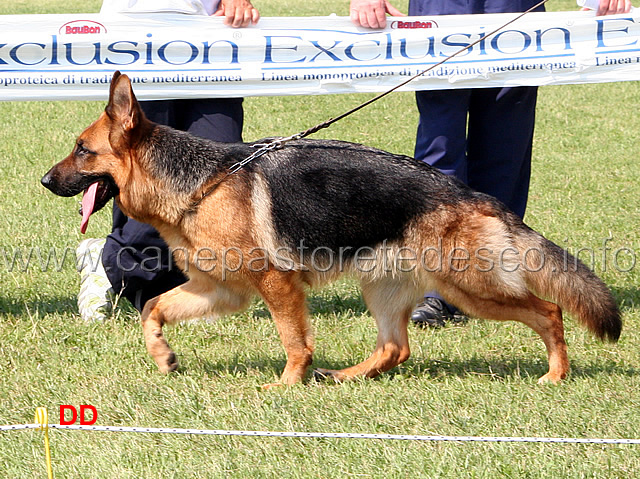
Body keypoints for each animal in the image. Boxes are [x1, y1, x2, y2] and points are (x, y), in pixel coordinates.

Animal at [41, 72, 620, 386]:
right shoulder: (220, 290)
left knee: (548, 310)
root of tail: (472, 195)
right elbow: (154, 309)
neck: (202, 182)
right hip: (384, 288)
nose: (44, 180)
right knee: (395, 348)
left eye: (82, 150)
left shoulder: (276, 285)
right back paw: (342, 378)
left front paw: (284, 386)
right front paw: (163, 355)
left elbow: (294, 341)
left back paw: (556, 374)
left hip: (469, 288)